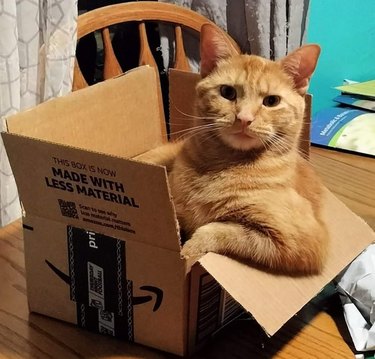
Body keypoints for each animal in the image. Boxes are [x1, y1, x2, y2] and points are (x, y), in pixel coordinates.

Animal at [137, 23, 328, 274]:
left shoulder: (299, 243)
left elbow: (220, 229)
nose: (244, 119)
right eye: (227, 92)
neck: (222, 165)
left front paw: (188, 250)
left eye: (272, 101)